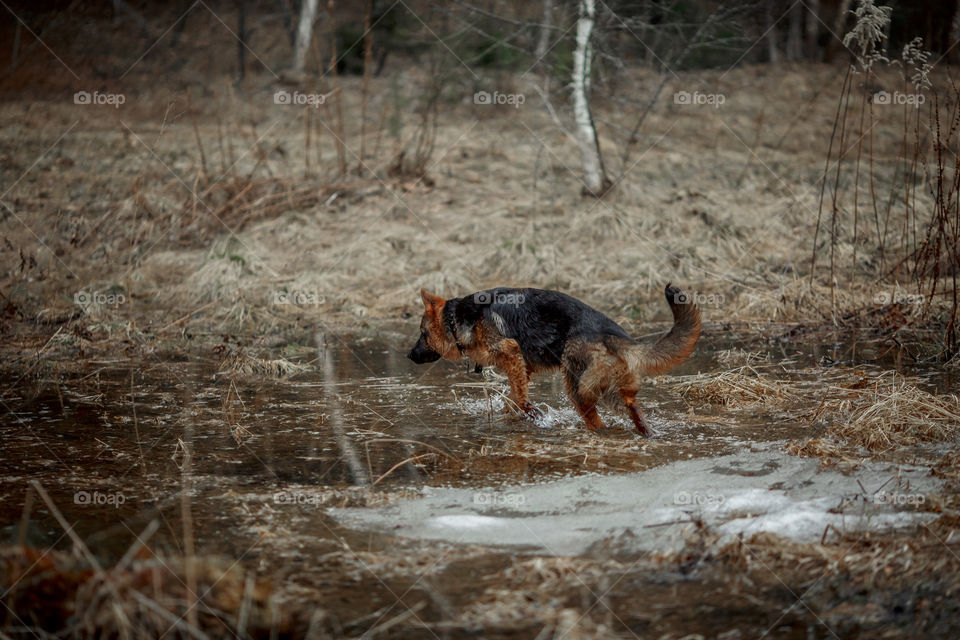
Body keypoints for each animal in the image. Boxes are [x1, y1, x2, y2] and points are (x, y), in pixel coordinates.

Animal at [404, 284, 696, 438]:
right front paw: (513, 414)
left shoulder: (511, 351)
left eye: (423, 334)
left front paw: (530, 413)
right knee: (633, 407)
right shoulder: (522, 367)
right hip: (611, 391)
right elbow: (514, 396)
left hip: (578, 387)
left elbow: (520, 397)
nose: (409, 355)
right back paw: (647, 432)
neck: (460, 319)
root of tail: (613, 334)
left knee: (596, 420)